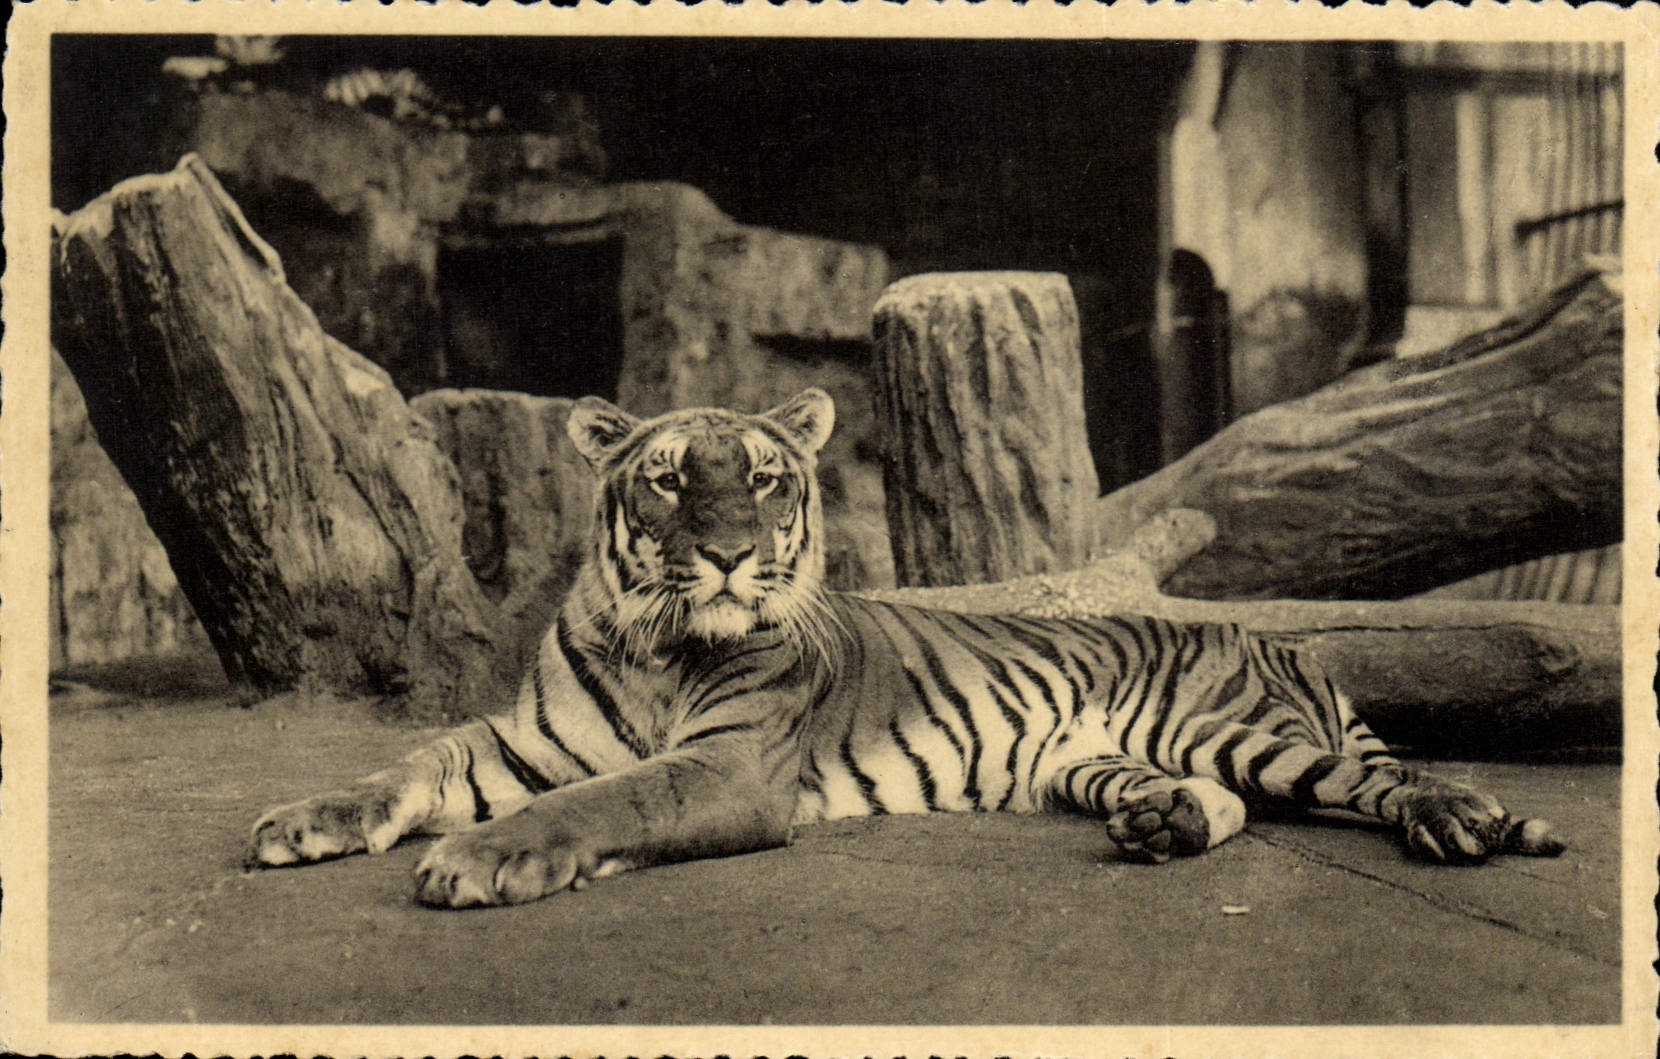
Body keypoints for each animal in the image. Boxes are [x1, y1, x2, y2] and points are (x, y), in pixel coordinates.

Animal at [250, 388, 1565, 908]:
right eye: (670, 479)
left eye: (765, 480)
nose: (726, 555)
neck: (654, 645)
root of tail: (1273, 641)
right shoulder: (515, 742)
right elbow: (410, 764)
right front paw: (304, 820)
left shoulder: (727, 767)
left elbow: (602, 801)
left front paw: (482, 861)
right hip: (1095, 761)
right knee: (1223, 805)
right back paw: (1163, 826)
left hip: (1244, 730)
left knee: (1374, 780)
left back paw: (1461, 821)